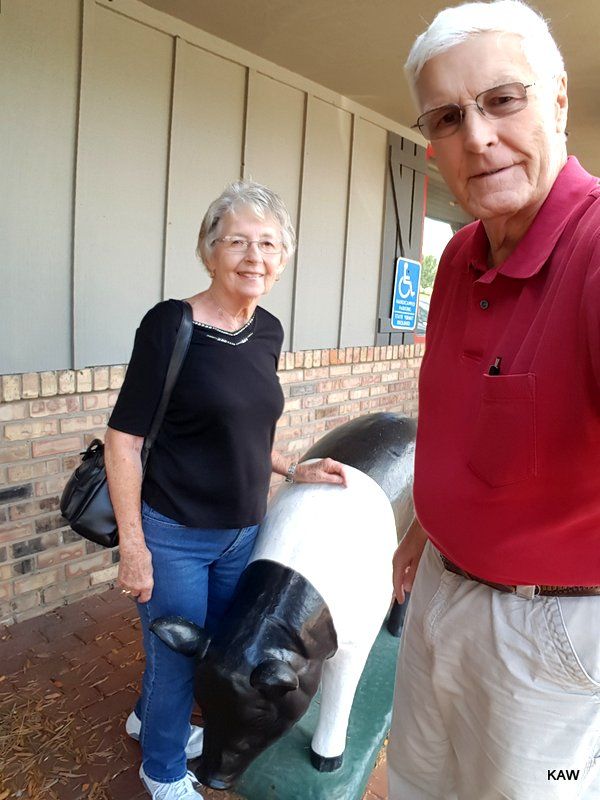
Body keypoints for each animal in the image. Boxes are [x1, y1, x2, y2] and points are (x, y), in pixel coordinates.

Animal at [152, 416, 414, 792]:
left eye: (261, 716)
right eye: (203, 701)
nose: (211, 779)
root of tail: (406, 419)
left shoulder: (355, 642)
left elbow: (340, 695)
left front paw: (326, 763)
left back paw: (396, 630)